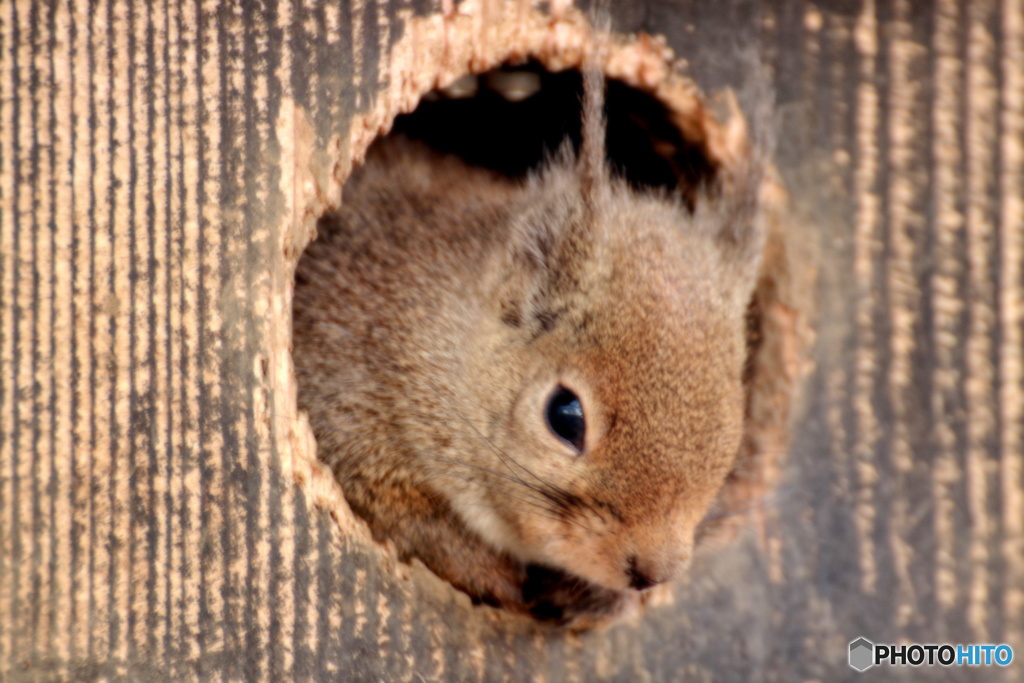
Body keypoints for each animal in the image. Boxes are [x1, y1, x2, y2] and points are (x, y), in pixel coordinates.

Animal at [292, 61, 765, 626]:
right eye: (564, 417)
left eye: (735, 427)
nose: (654, 572)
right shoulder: (341, 394)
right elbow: (406, 516)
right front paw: (488, 571)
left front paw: (594, 597)